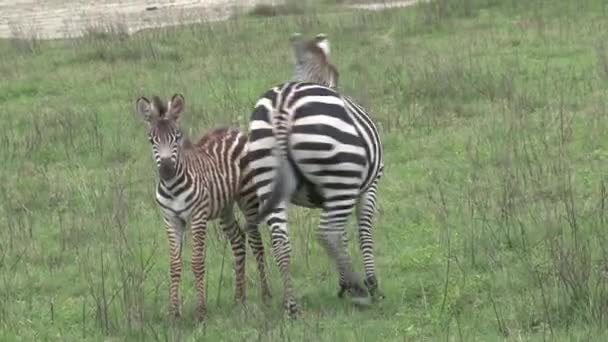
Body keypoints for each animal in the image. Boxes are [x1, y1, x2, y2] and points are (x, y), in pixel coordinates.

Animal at [138, 93, 274, 320]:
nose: (166, 170)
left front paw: (201, 312)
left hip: (248, 199)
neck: (172, 187)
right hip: (224, 207)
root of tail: (235, 130)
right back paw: (239, 298)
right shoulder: (171, 219)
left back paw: (265, 295)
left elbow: (197, 262)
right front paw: (173, 312)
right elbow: (174, 264)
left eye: (177, 137)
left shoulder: (197, 216)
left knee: (256, 243)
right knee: (238, 240)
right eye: (152, 140)